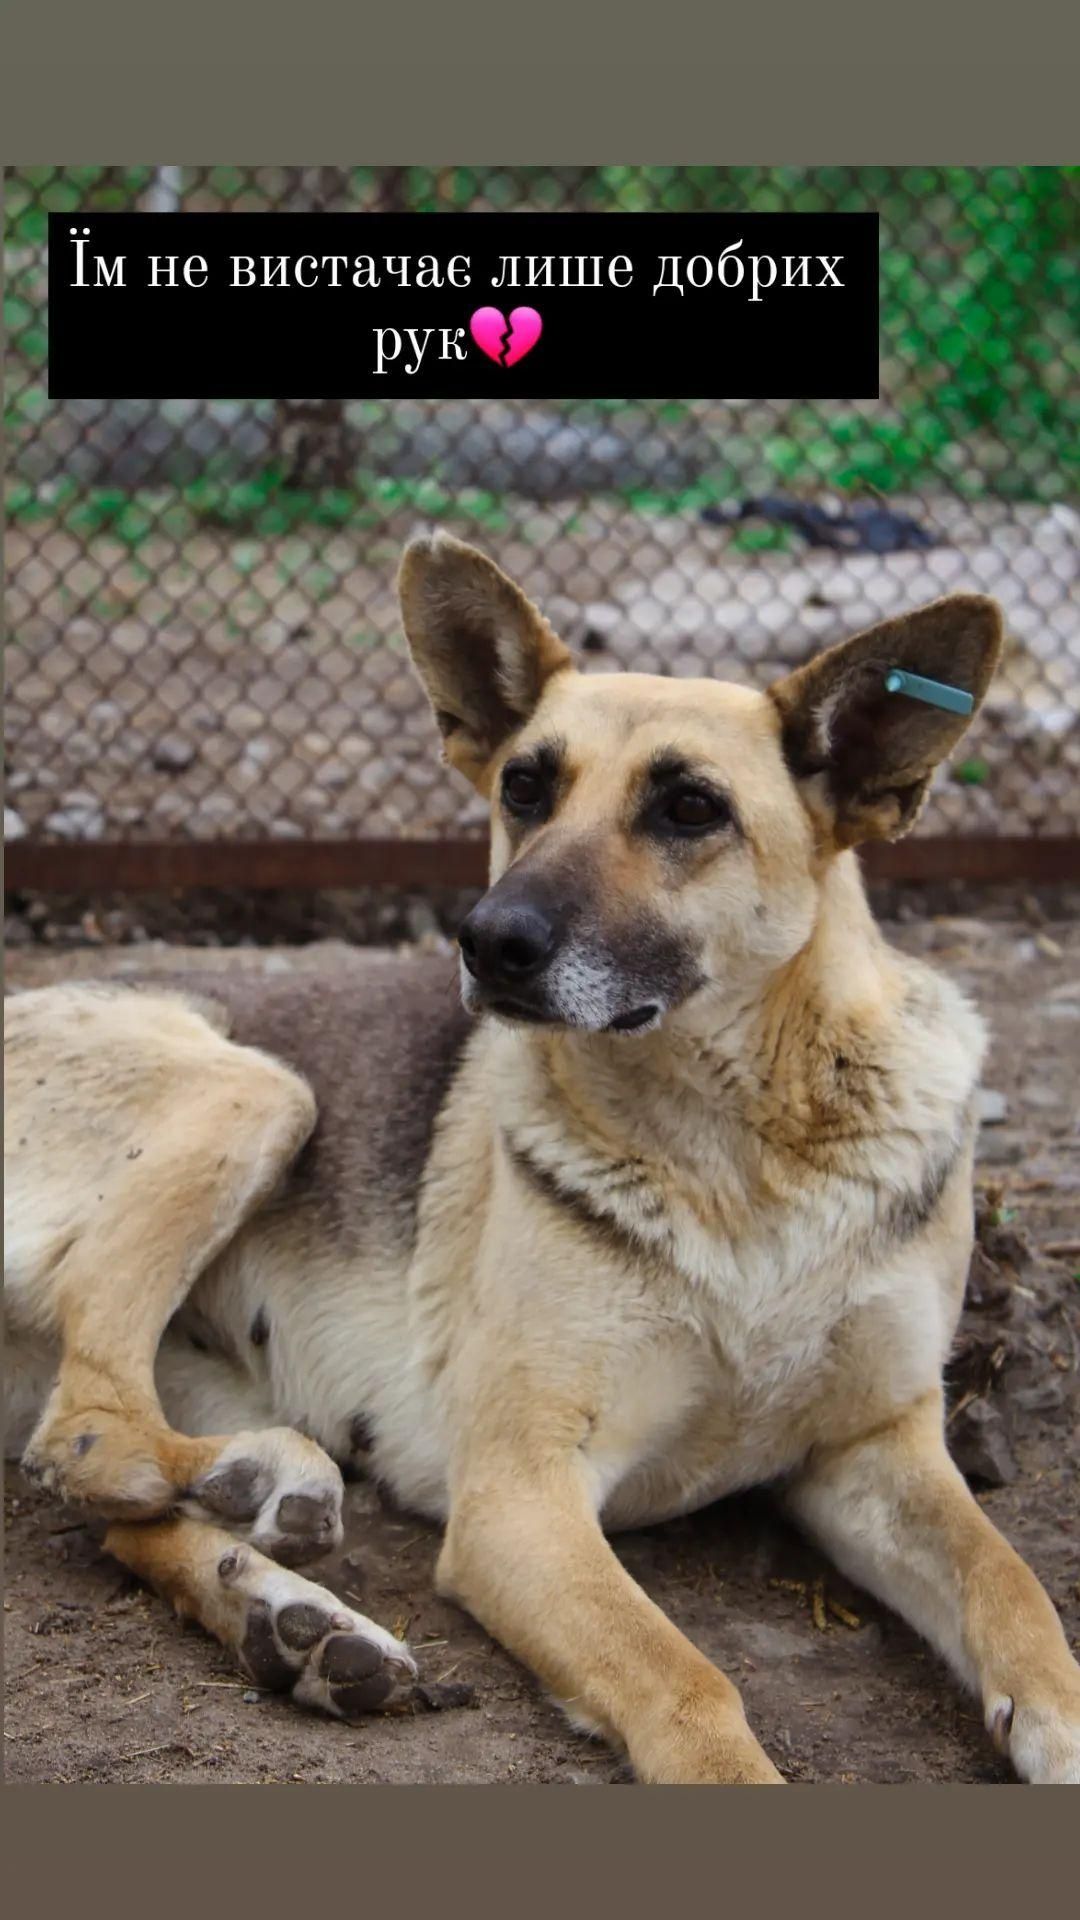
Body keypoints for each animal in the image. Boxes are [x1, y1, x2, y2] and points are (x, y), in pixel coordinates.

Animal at [8, 529, 1076, 1781]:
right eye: (525, 787)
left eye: (691, 808)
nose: (486, 943)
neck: (739, 1155)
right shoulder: (522, 1496)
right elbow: (688, 1682)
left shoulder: (877, 1447)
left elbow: (1010, 1584)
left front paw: (1058, 1717)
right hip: (259, 1092)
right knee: (86, 1435)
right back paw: (257, 1483)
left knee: (108, 1510)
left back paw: (294, 1615)